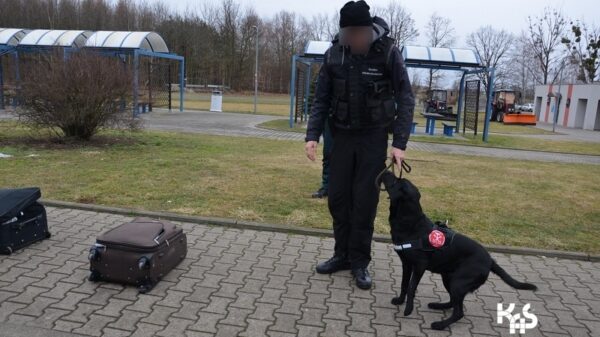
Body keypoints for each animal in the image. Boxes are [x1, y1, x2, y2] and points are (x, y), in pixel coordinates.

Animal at [382, 172, 536, 330]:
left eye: (396, 181)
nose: (386, 172)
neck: (410, 222)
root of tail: (490, 260)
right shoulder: (406, 264)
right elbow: (404, 284)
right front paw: (400, 301)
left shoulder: (420, 265)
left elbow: (411, 287)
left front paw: (408, 309)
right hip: (448, 278)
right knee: (453, 303)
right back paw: (438, 306)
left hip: (457, 283)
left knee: (459, 312)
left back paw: (440, 325)